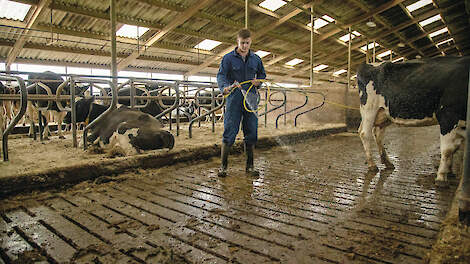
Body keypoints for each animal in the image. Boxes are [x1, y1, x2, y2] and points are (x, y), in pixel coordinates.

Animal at [358, 56, 468, 186]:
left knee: (377, 134)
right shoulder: (448, 114)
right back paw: (372, 165)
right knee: (365, 134)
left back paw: (388, 163)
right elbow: (448, 149)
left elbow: (455, 148)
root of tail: (368, 64)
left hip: (384, 113)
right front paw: (441, 178)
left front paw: (449, 172)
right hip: (369, 108)